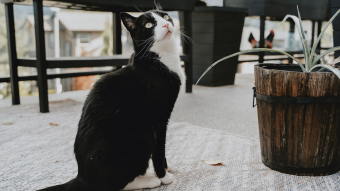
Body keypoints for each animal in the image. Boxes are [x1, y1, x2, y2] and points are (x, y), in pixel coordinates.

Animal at [37, 10, 183, 191]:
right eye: (149, 25)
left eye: (166, 17)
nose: (166, 24)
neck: (161, 60)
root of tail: (82, 177)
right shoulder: (159, 119)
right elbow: (159, 151)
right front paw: (164, 176)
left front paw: (168, 169)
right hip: (141, 137)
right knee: (114, 184)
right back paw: (149, 181)